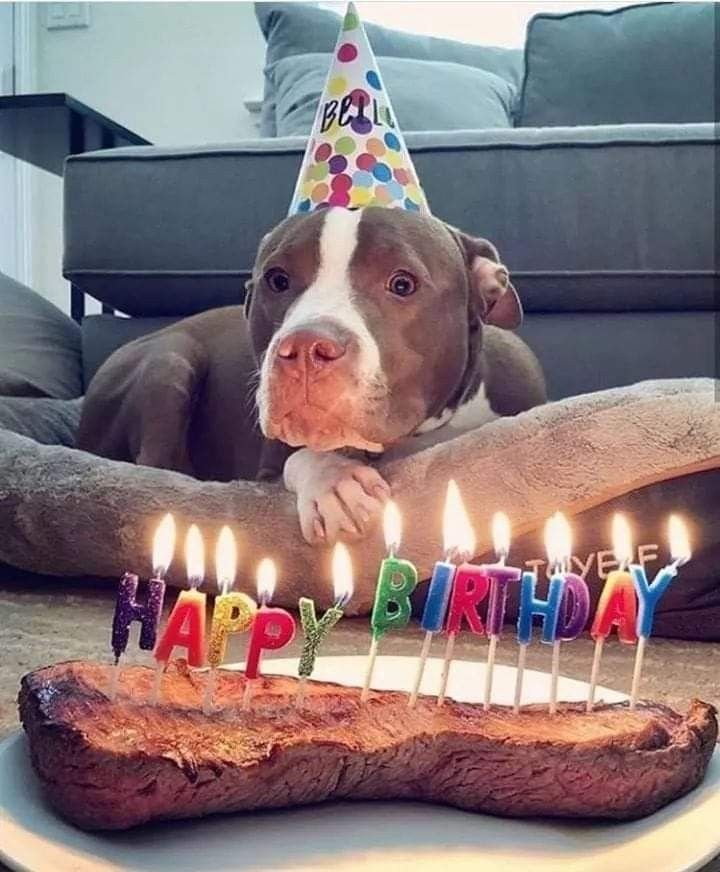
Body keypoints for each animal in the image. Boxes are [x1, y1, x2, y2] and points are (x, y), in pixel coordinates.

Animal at [77, 207, 544, 540]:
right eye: (277, 279)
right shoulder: (267, 465)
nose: (304, 348)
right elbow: (300, 456)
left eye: (403, 283)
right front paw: (333, 482)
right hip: (171, 358)